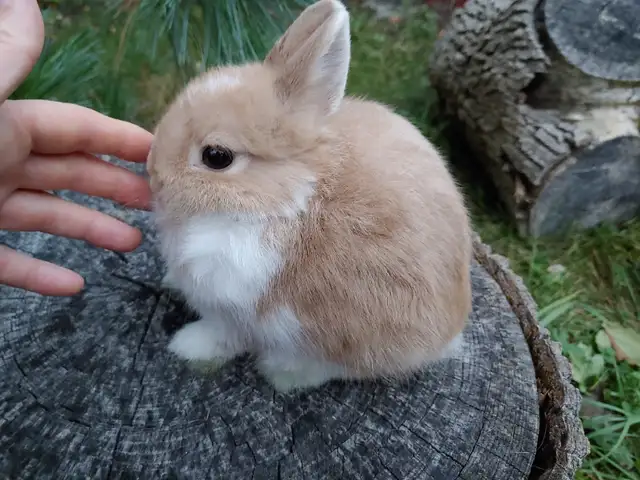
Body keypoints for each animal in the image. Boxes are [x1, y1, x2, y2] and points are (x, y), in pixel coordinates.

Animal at [146, 0, 472, 393]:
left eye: (216, 157)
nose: (154, 175)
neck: (288, 199)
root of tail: (451, 333)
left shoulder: (239, 308)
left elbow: (224, 335)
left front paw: (186, 347)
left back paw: (284, 374)